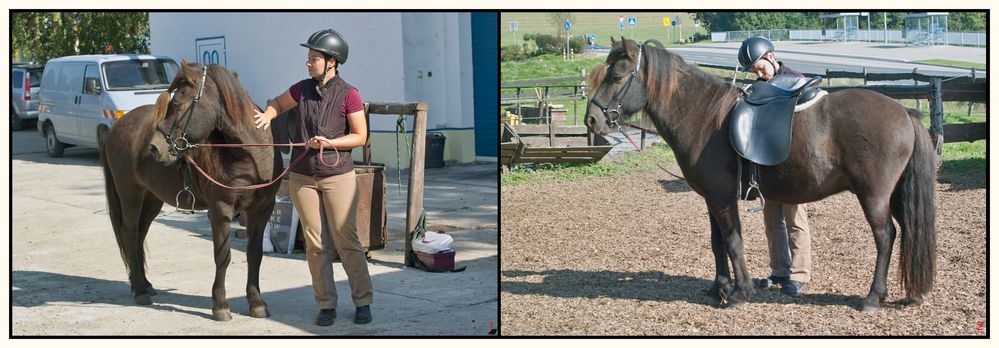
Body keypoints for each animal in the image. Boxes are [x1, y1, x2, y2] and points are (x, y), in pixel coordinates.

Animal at [101, 59, 280, 320]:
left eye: (176, 103)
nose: (154, 147)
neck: (250, 156)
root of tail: (116, 128)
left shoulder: (262, 209)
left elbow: (254, 255)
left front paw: (257, 303)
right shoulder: (220, 210)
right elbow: (222, 256)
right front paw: (220, 305)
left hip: (151, 199)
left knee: (140, 235)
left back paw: (143, 284)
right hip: (130, 194)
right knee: (130, 233)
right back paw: (140, 292)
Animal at [584, 38, 936, 312]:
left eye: (617, 74)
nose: (592, 120)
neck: (703, 117)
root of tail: (904, 111)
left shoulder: (723, 197)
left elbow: (733, 241)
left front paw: (740, 293)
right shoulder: (712, 198)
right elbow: (717, 243)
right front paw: (719, 289)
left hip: (874, 196)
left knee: (886, 236)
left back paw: (873, 297)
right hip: (895, 196)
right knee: (908, 231)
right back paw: (910, 294)